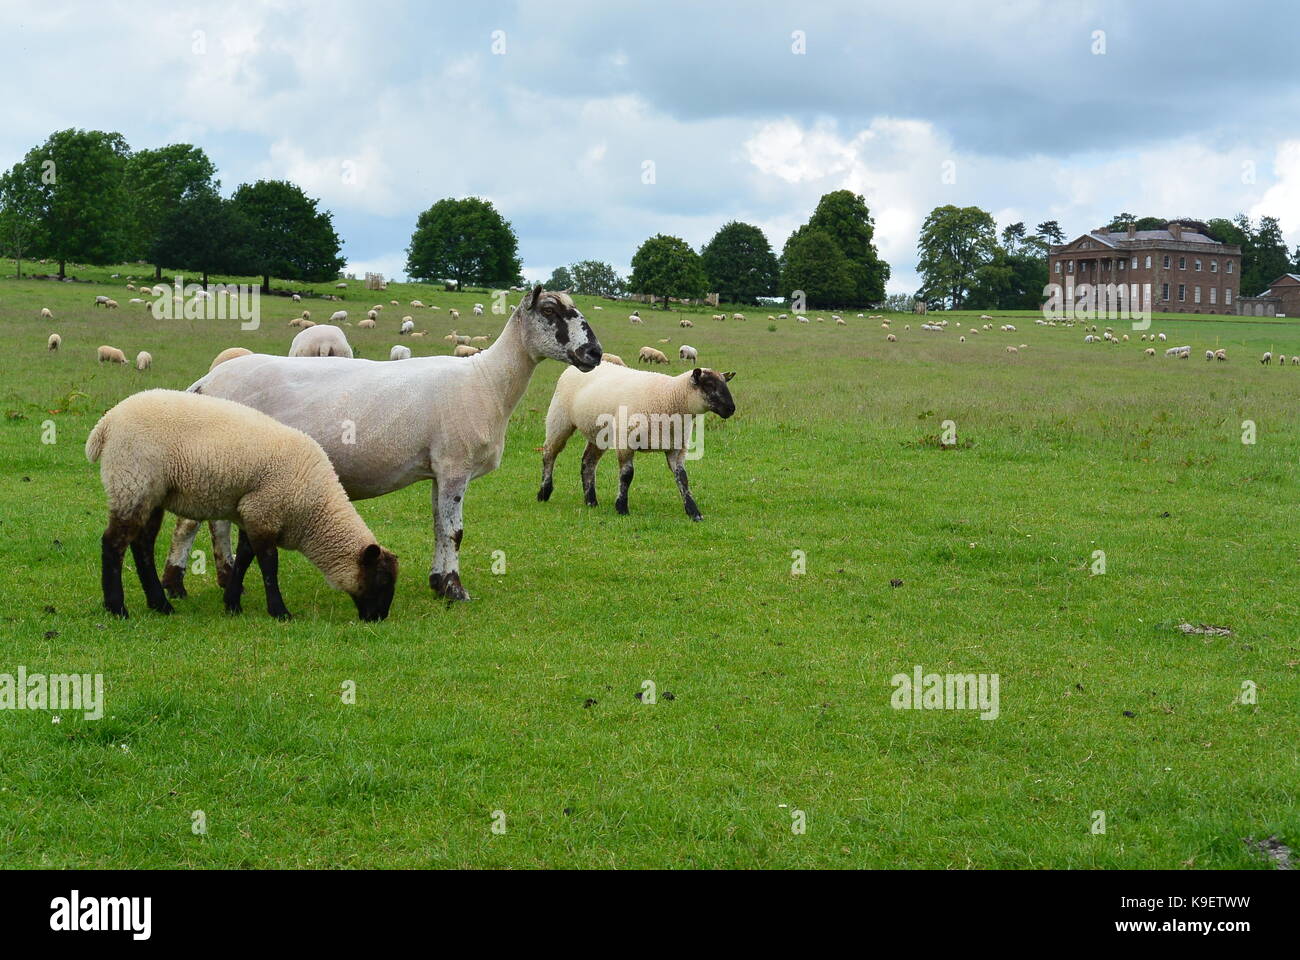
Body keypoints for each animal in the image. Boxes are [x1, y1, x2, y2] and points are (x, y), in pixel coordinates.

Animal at [85, 390, 395, 621]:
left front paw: (232, 603)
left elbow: (245, 558)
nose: (378, 618)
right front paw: (279, 612)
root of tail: (106, 424)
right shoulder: (265, 509)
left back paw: (160, 604)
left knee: (142, 546)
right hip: (132, 482)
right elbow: (269, 564)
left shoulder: (253, 512)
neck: (314, 509)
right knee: (113, 543)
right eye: (381, 580)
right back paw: (117, 608)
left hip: (151, 494)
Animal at [165, 280, 600, 600]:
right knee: (190, 522)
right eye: (549, 312)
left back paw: (222, 578)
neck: (487, 381)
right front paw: (456, 591)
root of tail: (206, 382)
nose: (594, 353)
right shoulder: (455, 466)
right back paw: (176, 584)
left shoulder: (440, 470)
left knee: (216, 522)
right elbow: (455, 531)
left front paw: (438, 582)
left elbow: (438, 527)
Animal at [538, 361, 738, 520]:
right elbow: (627, 474)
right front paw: (621, 507)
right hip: (559, 419)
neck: (670, 396)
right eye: (709, 384)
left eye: (725, 384)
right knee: (549, 453)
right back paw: (544, 492)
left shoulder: (676, 447)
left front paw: (693, 512)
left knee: (588, 462)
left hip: (599, 433)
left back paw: (591, 501)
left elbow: (683, 478)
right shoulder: (626, 441)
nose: (731, 409)